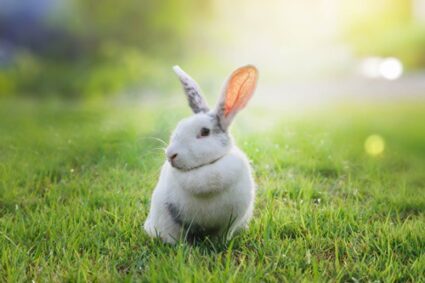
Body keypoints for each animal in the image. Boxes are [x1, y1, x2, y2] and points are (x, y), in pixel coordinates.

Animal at [143, 64, 258, 244]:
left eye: (204, 132)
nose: (171, 155)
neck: (205, 168)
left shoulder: (230, 222)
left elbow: (223, 235)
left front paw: (220, 244)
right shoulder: (170, 220)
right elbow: (175, 236)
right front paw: (184, 247)